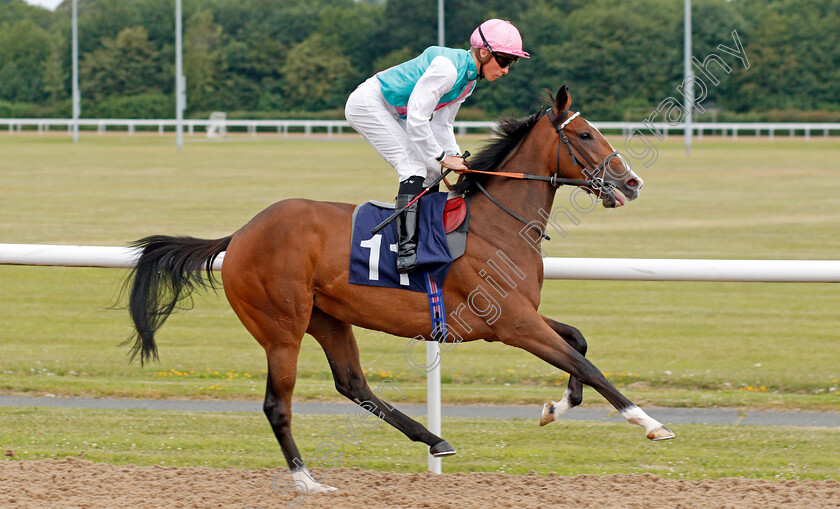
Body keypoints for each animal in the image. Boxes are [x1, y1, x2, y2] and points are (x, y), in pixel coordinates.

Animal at [124, 84, 672, 492]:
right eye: (585, 134)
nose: (632, 182)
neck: (495, 225)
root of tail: (239, 235)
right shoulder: (512, 324)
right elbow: (585, 363)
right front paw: (650, 423)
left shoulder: (521, 314)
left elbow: (578, 341)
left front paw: (555, 407)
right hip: (281, 326)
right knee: (278, 404)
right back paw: (307, 480)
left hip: (328, 317)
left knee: (353, 383)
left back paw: (433, 439)